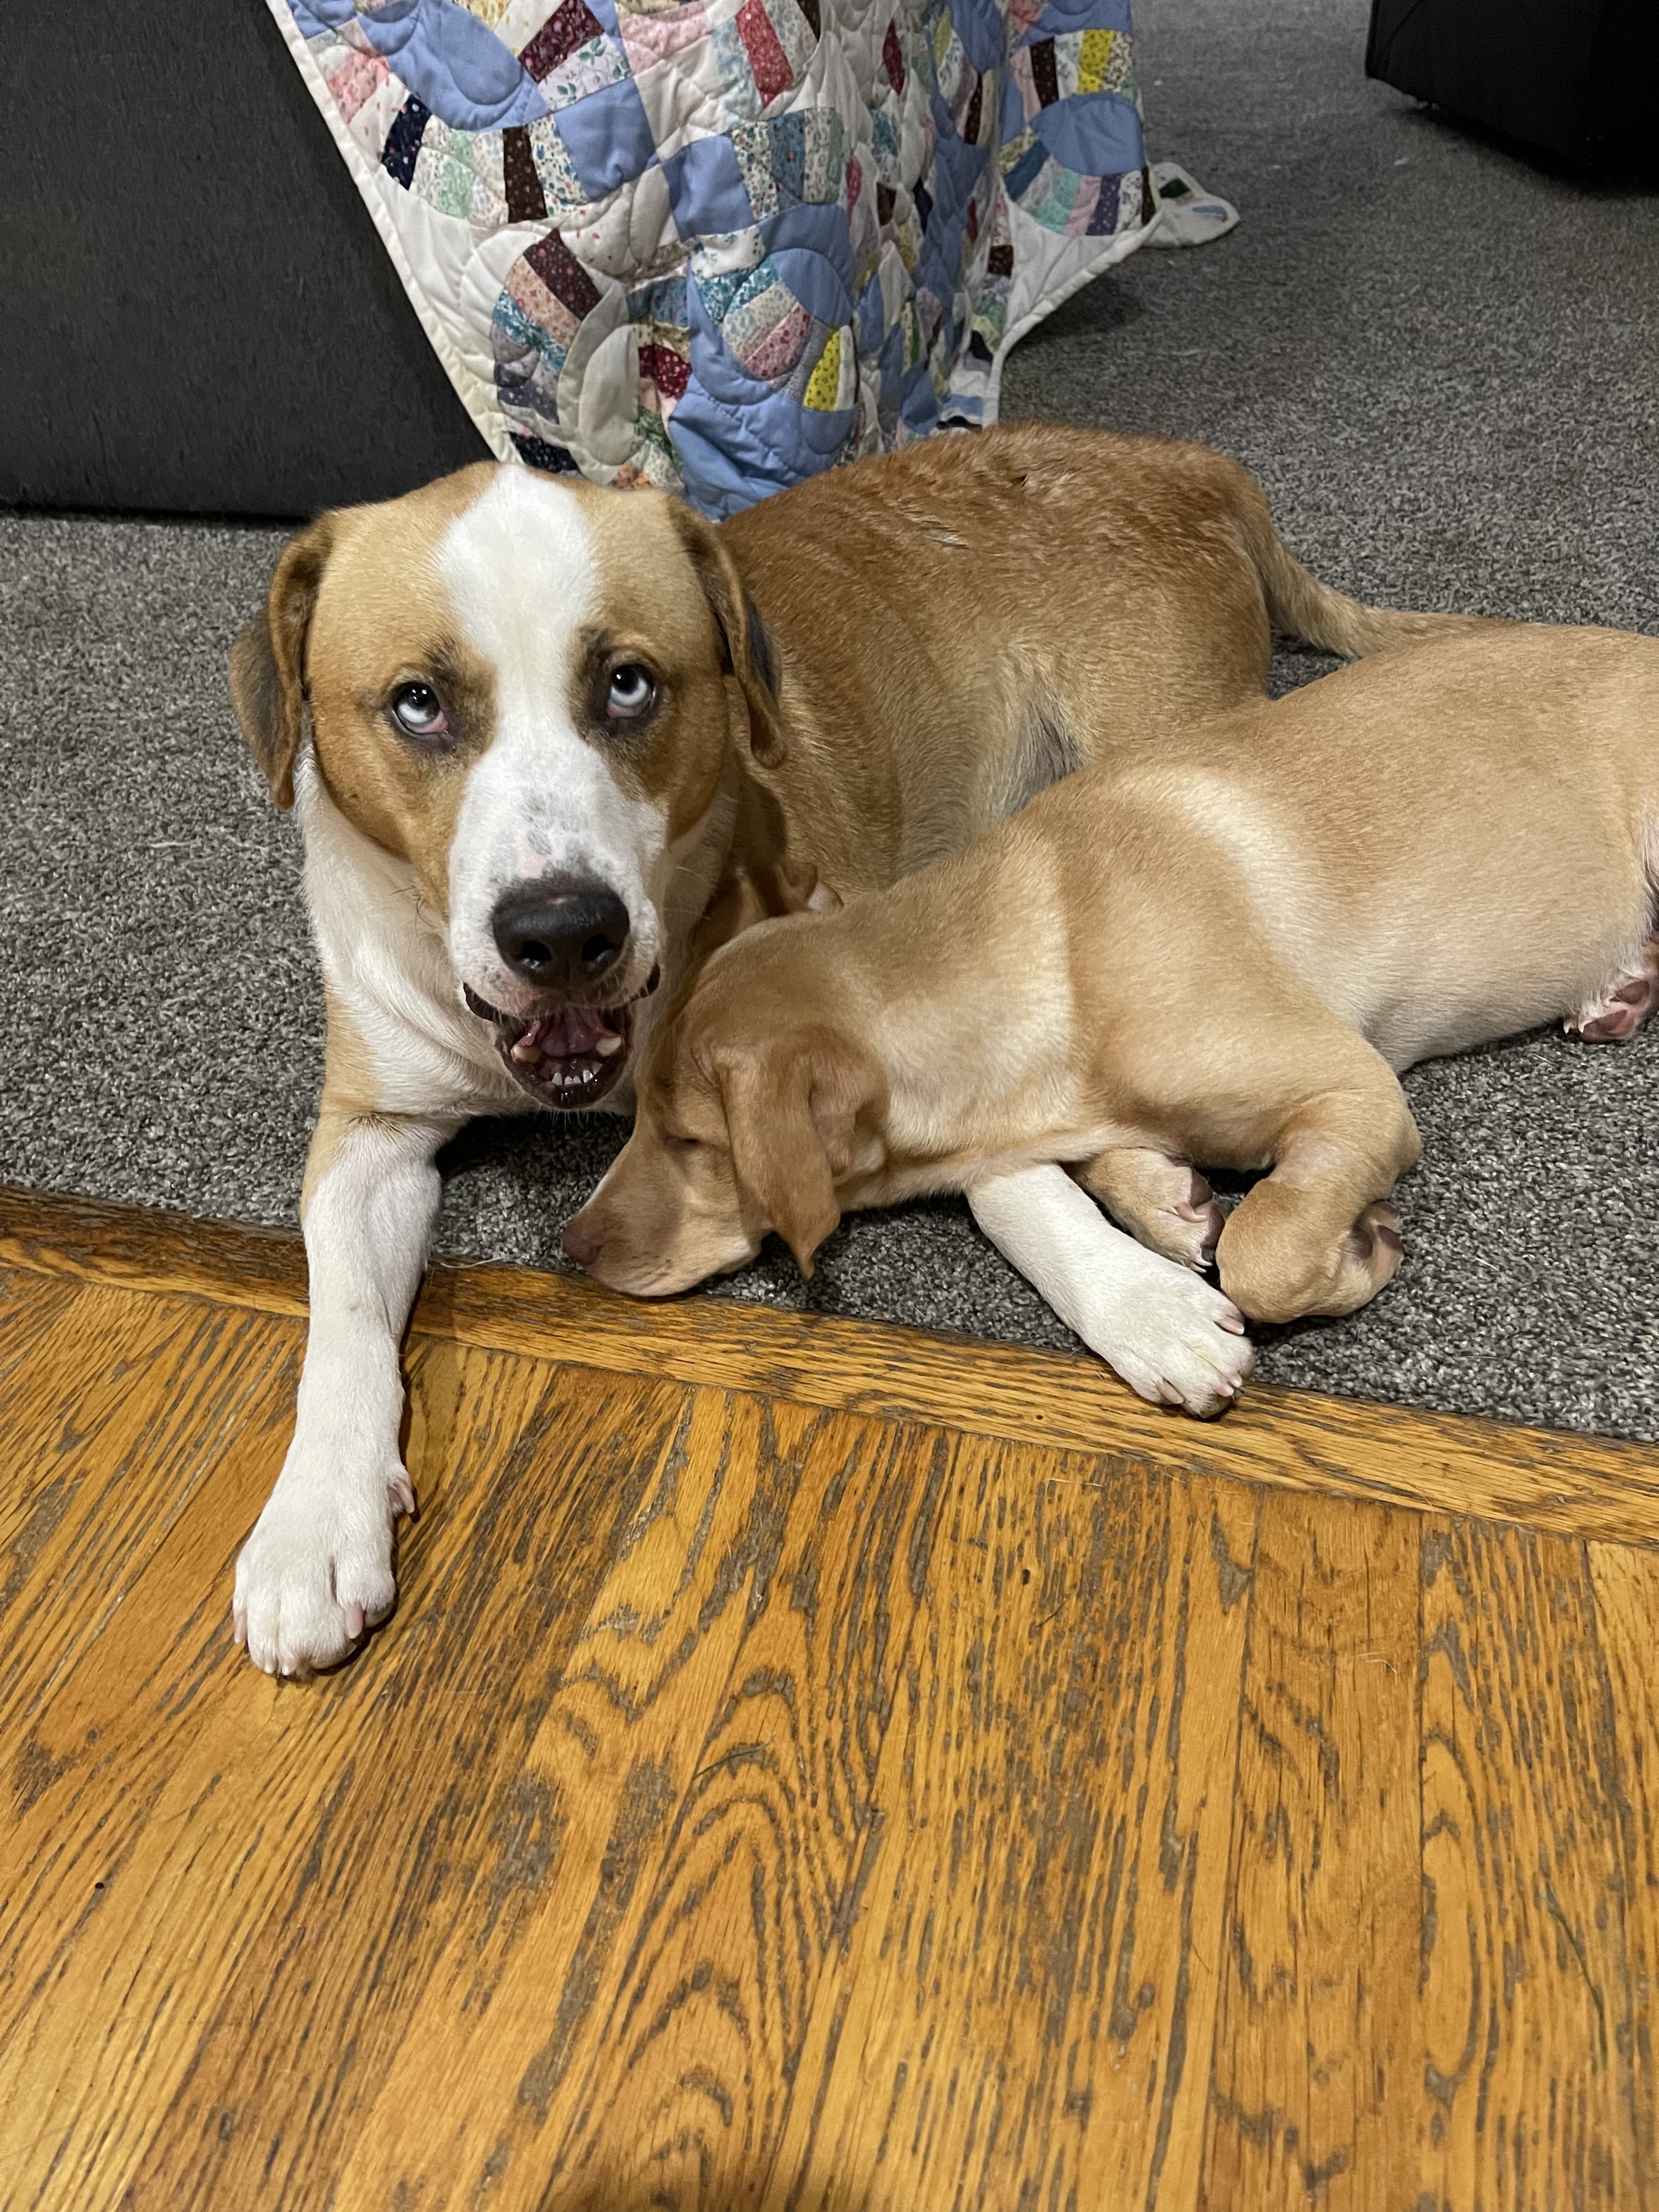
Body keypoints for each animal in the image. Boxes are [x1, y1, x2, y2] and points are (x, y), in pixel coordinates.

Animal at [228, 422, 1477, 1672]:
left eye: (628, 684)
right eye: (417, 705)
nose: (564, 930)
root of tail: (1174, 457)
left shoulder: (851, 952)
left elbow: (1000, 1167)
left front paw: (1136, 1305)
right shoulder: (368, 1131)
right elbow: (341, 1308)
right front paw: (312, 1526)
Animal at [571, 624, 1659, 1371]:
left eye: (692, 1142)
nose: (572, 1247)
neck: (1052, 951)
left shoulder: (1357, 1092)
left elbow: (1264, 1249)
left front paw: (1356, 1256)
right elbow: (1125, 1170)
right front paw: (1165, 1198)